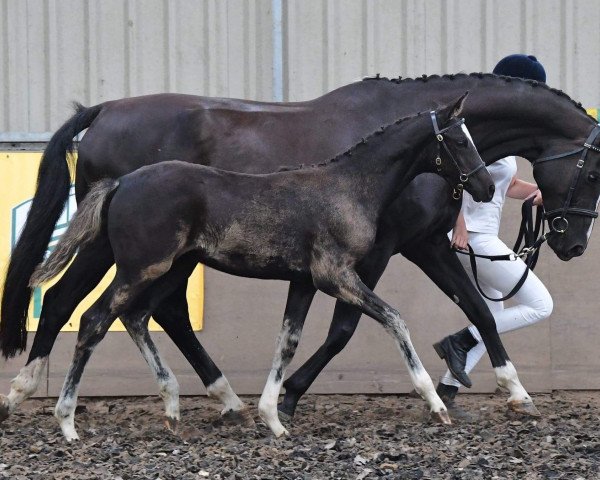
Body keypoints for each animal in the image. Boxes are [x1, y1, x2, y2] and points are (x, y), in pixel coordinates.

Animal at [31, 99, 492, 440]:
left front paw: (273, 418)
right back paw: (67, 421)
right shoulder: (336, 276)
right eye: (458, 140)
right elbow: (394, 319)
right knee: (94, 319)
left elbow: (287, 340)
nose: (486, 187)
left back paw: (174, 409)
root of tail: (122, 182)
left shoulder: (304, 282)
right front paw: (436, 406)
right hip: (140, 268)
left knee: (137, 317)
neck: (350, 187)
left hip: (165, 269)